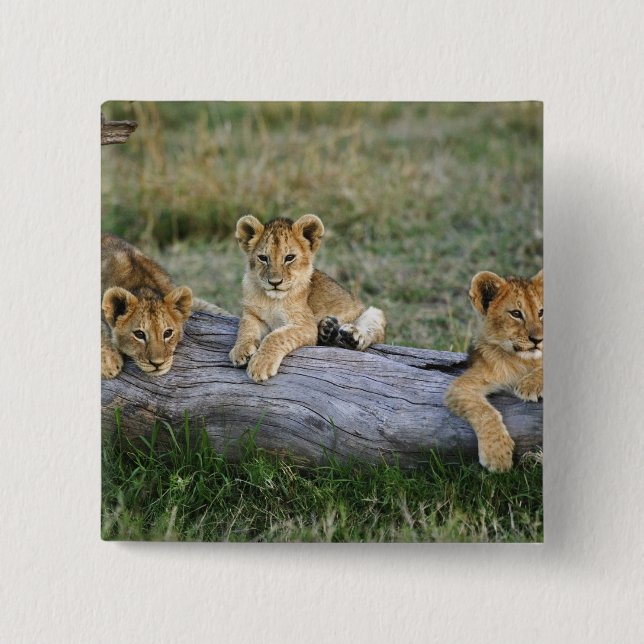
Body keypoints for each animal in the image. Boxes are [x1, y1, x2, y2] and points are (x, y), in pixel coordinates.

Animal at [101, 233, 229, 379]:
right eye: (139, 334)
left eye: (167, 333)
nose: (158, 364)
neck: (142, 285)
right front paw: (109, 362)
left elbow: (213, 308)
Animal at [229, 214, 387, 382]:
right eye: (263, 258)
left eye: (289, 257)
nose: (275, 282)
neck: (271, 300)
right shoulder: (251, 313)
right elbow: (245, 327)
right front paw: (240, 350)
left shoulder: (305, 325)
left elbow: (276, 336)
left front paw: (260, 364)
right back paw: (328, 329)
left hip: (373, 312)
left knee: (374, 331)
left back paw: (351, 336)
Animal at [444, 269, 543, 472]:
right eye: (516, 313)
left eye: (541, 312)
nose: (538, 340)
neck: (522, 361)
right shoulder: (461, 386)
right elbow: (485, 412)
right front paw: (497, 455)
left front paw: (530, 385)